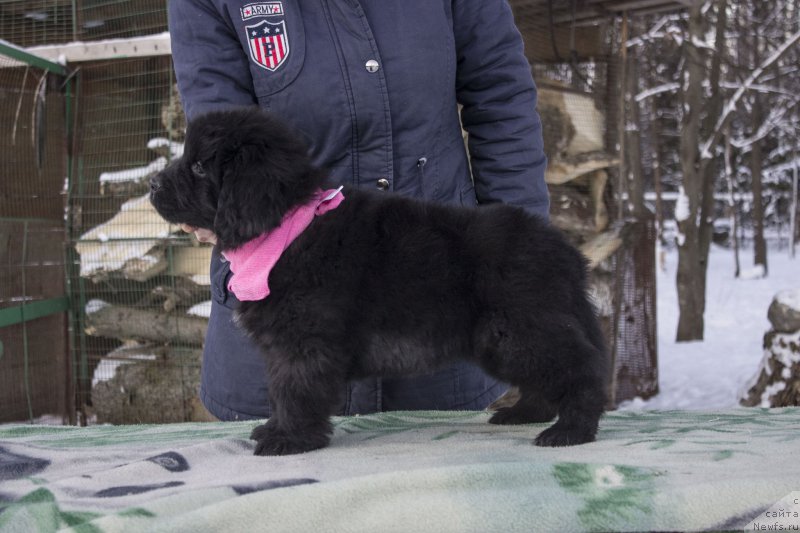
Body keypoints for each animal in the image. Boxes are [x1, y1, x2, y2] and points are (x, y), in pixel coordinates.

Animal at [150, 107, 608, 454]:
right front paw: (275, 429)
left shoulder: (303, 342)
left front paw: (289, 440)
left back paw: (571, 431)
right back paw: (523, 413)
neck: (284, 227)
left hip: (521, 330)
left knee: (581, 370)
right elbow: (279, 390)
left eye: (198, 166)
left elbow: (294, 389)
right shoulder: (284, 346)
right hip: (507, 339)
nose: (153, 183)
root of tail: (565, 252)